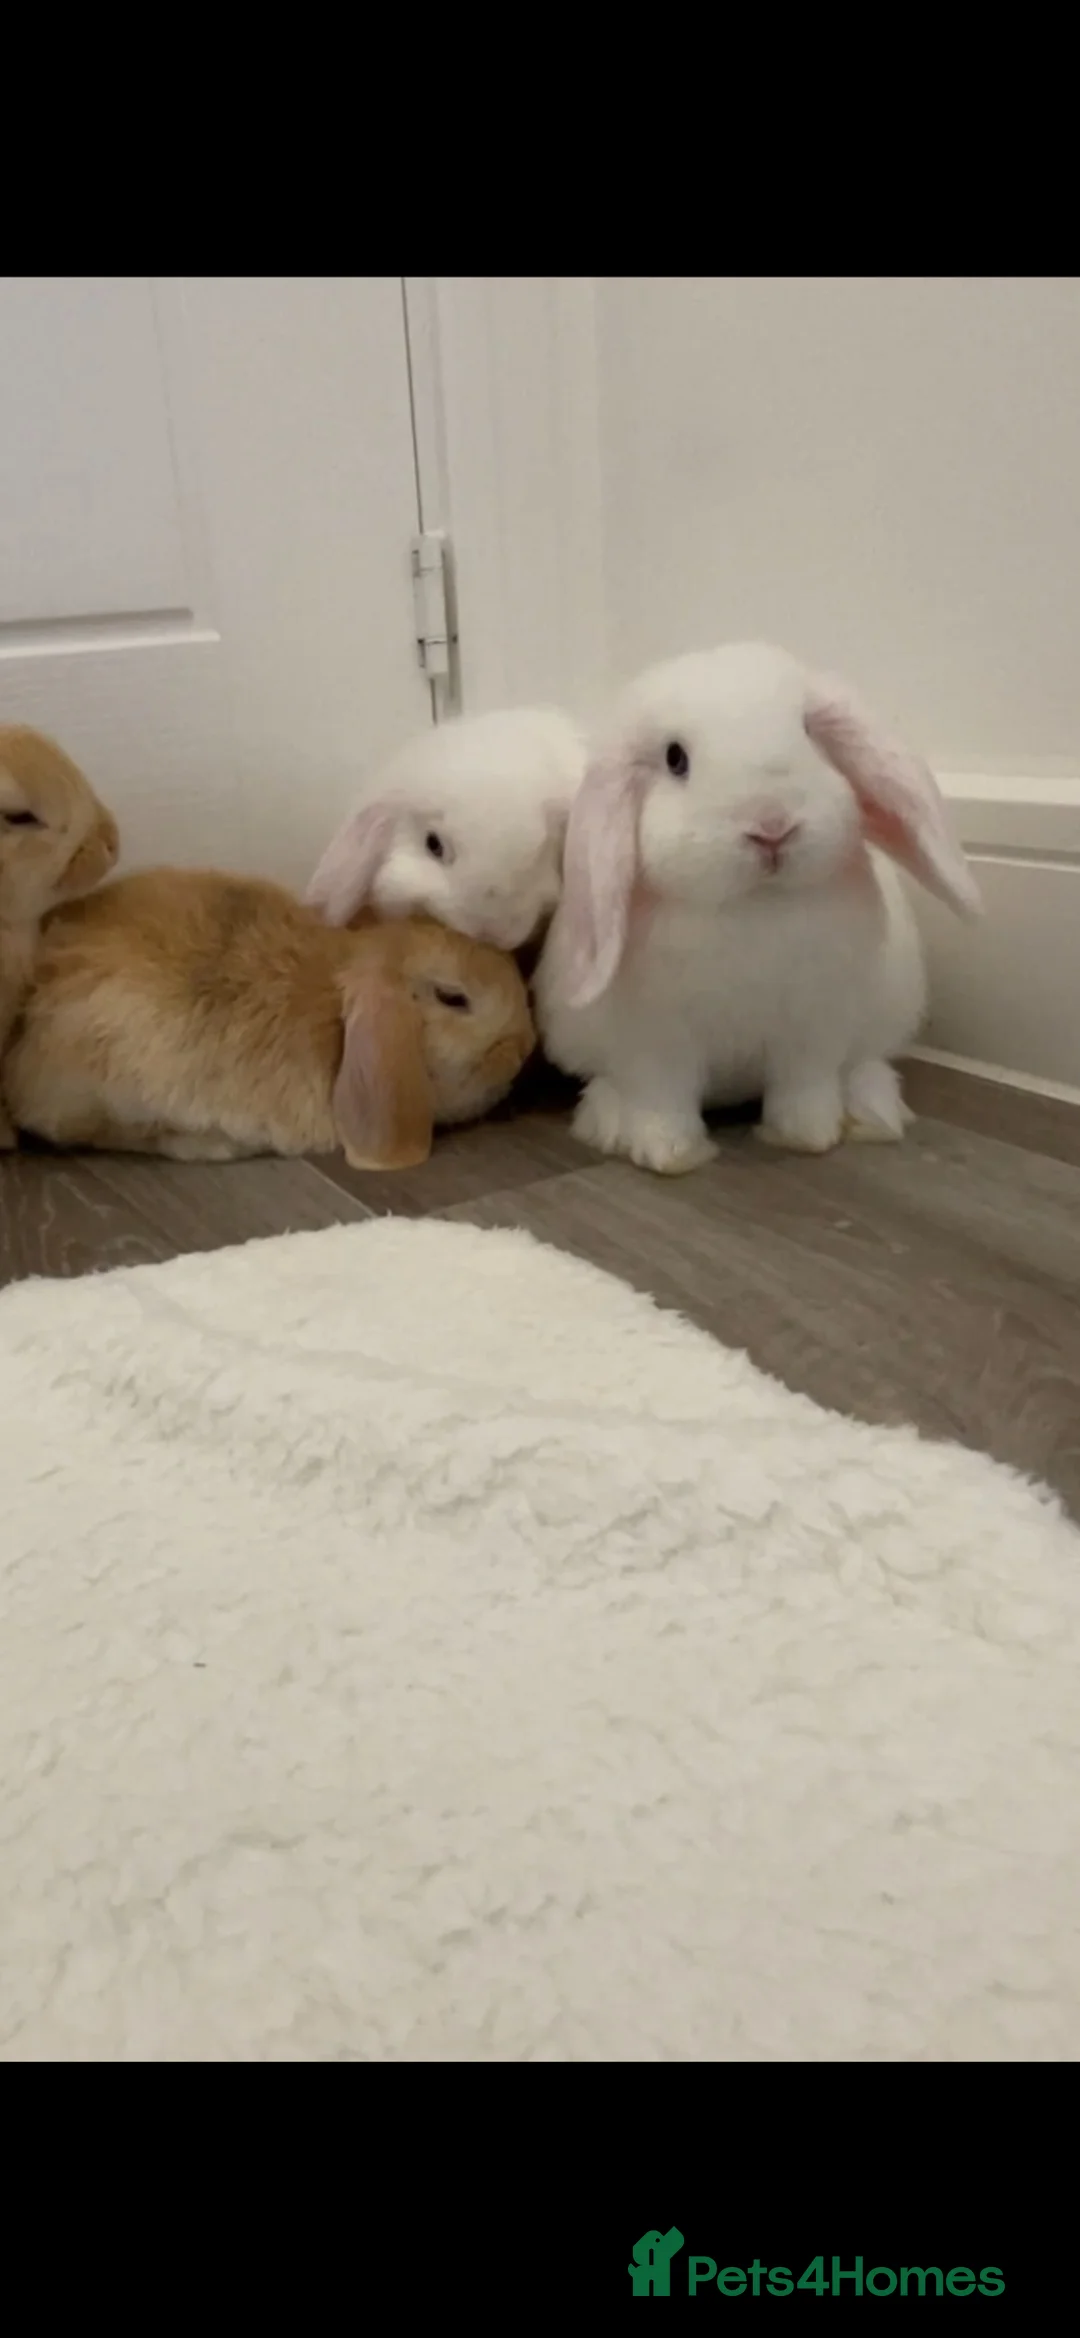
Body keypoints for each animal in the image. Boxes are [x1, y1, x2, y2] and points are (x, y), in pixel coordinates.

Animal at [533, 641, 982, 1176]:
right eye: (675, 759)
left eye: (807, 732)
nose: (772, 825)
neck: (754, 903)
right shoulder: (658, 1046)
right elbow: (663, 1102)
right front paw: (669, 1155)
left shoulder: (812, 1030)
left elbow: (804, 1090)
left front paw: (809, 1137)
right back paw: (608, 1121)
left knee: (865, 1065)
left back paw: (873, 1112)